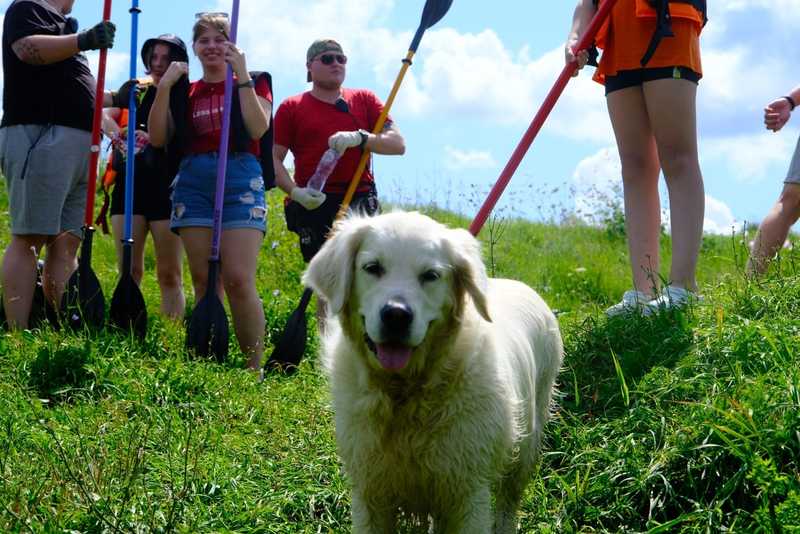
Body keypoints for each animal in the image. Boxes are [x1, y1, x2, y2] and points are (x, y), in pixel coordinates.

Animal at [304, 211, 564, 532]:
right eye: (372, 268)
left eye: (430, 275)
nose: (396, 315)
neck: (405, 395)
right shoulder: (370, 493)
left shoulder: (468, 493)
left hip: (526, 443)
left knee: (508, 501)